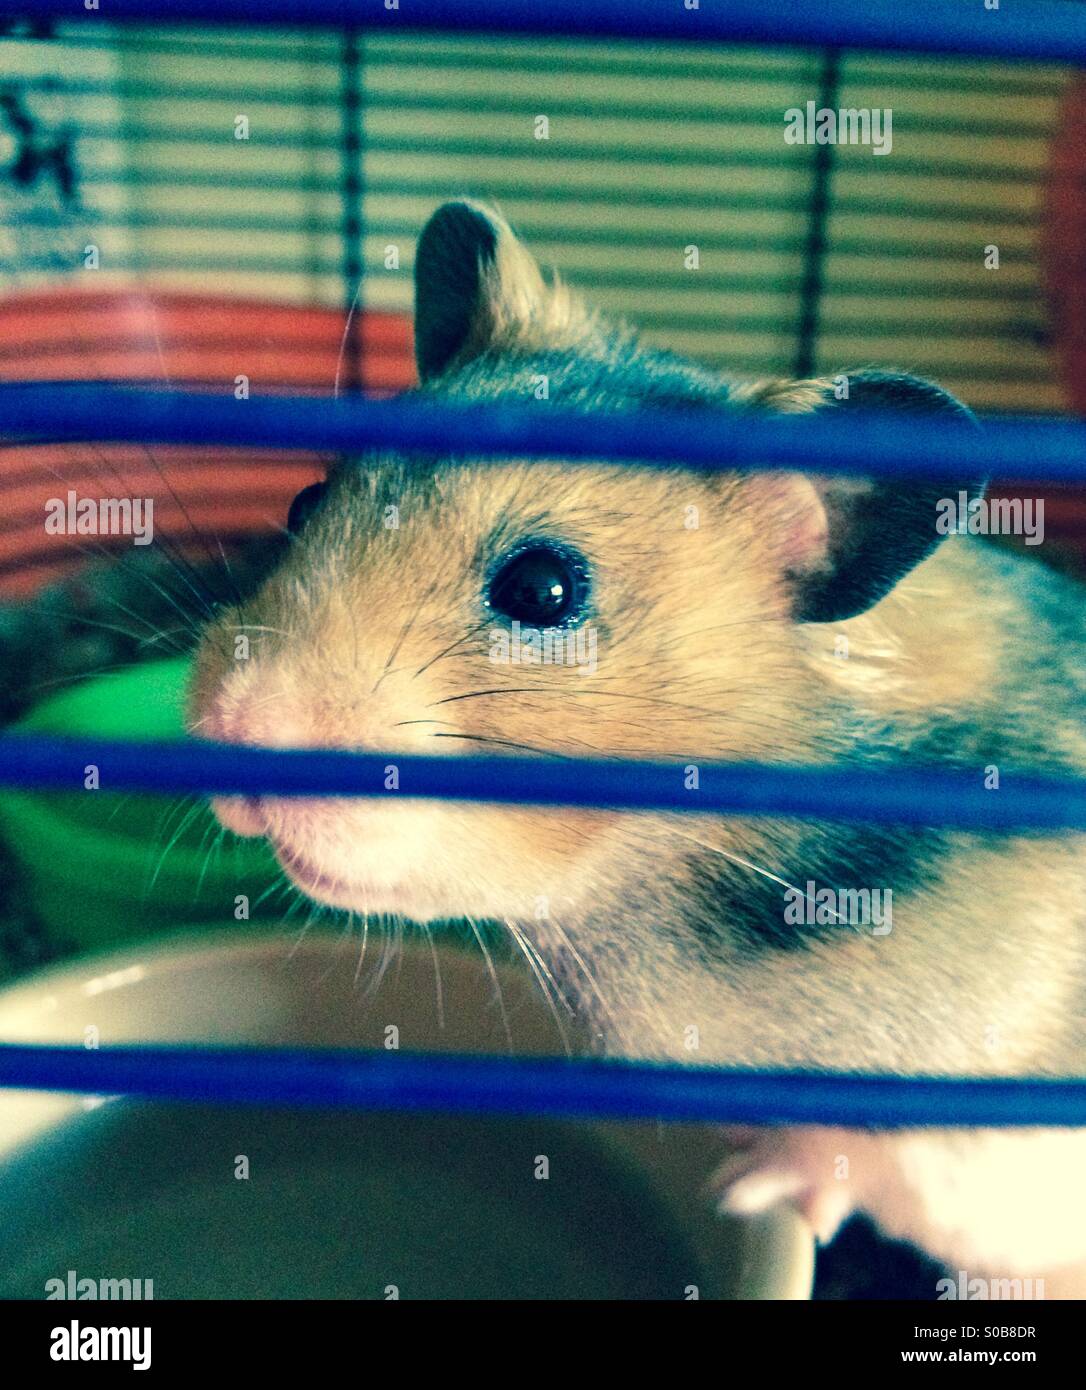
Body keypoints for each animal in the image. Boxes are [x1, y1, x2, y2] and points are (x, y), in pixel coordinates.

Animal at [189, 201, 1086, 1291]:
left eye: (543, 589)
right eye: (304, 504)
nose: (229, 732)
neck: (657, 888)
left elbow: (869, 1139)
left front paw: (744, 1184)